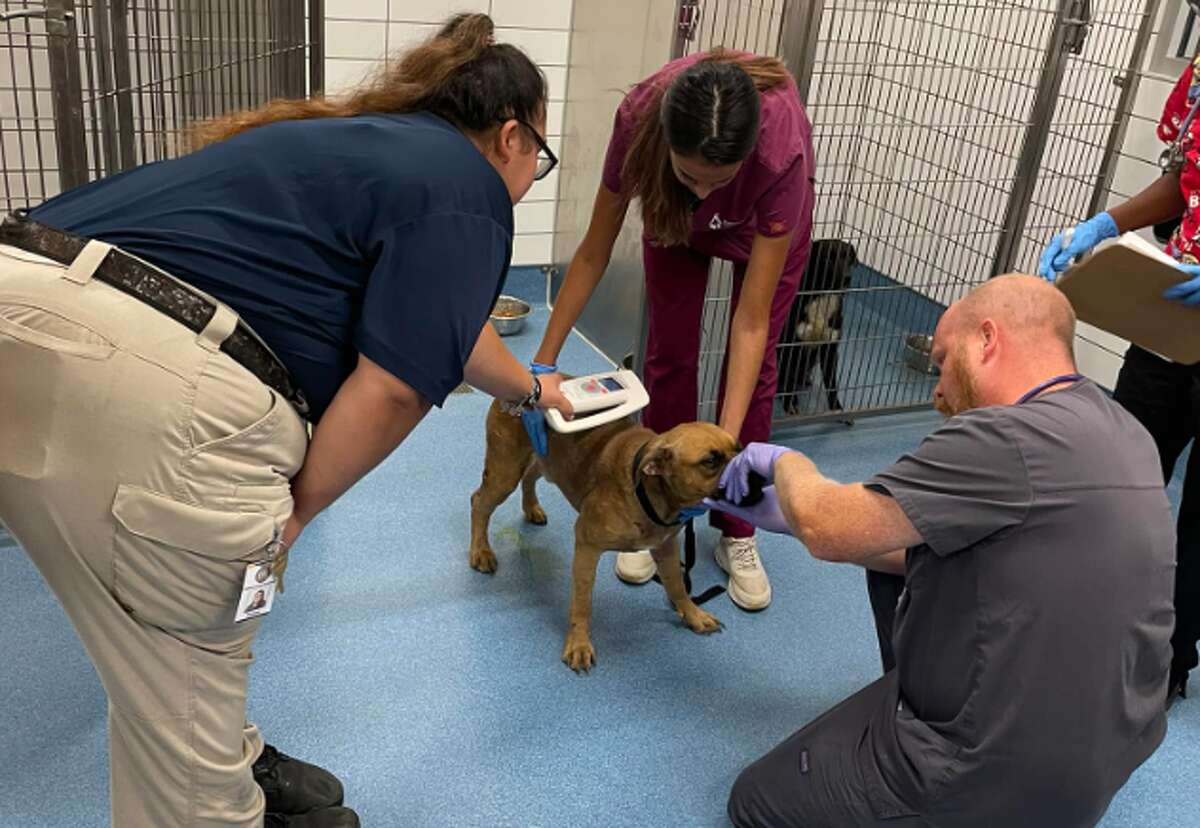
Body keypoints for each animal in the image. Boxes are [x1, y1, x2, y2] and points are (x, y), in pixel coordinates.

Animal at [470, 400, 739, 672]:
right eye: (710, 461)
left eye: (738, 449)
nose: (747, 468)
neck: (651, 491)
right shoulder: (587, 546)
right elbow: (582, 603)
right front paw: (579, 643)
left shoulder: (666, 548)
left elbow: (677, 585)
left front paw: (693, 614)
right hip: (504, 474)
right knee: (479, 502)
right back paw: (480, 551)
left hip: (544, 459)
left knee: (530, 475)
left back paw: (531, 507)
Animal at [772, 242, 859, 415]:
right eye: (827, 258)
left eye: (849, 257)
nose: (847, 278)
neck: (822, 296)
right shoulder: (791, 346)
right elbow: (790, 380)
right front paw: (790, 403)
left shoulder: (830, 347)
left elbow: (832, 384)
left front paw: (836, 407)